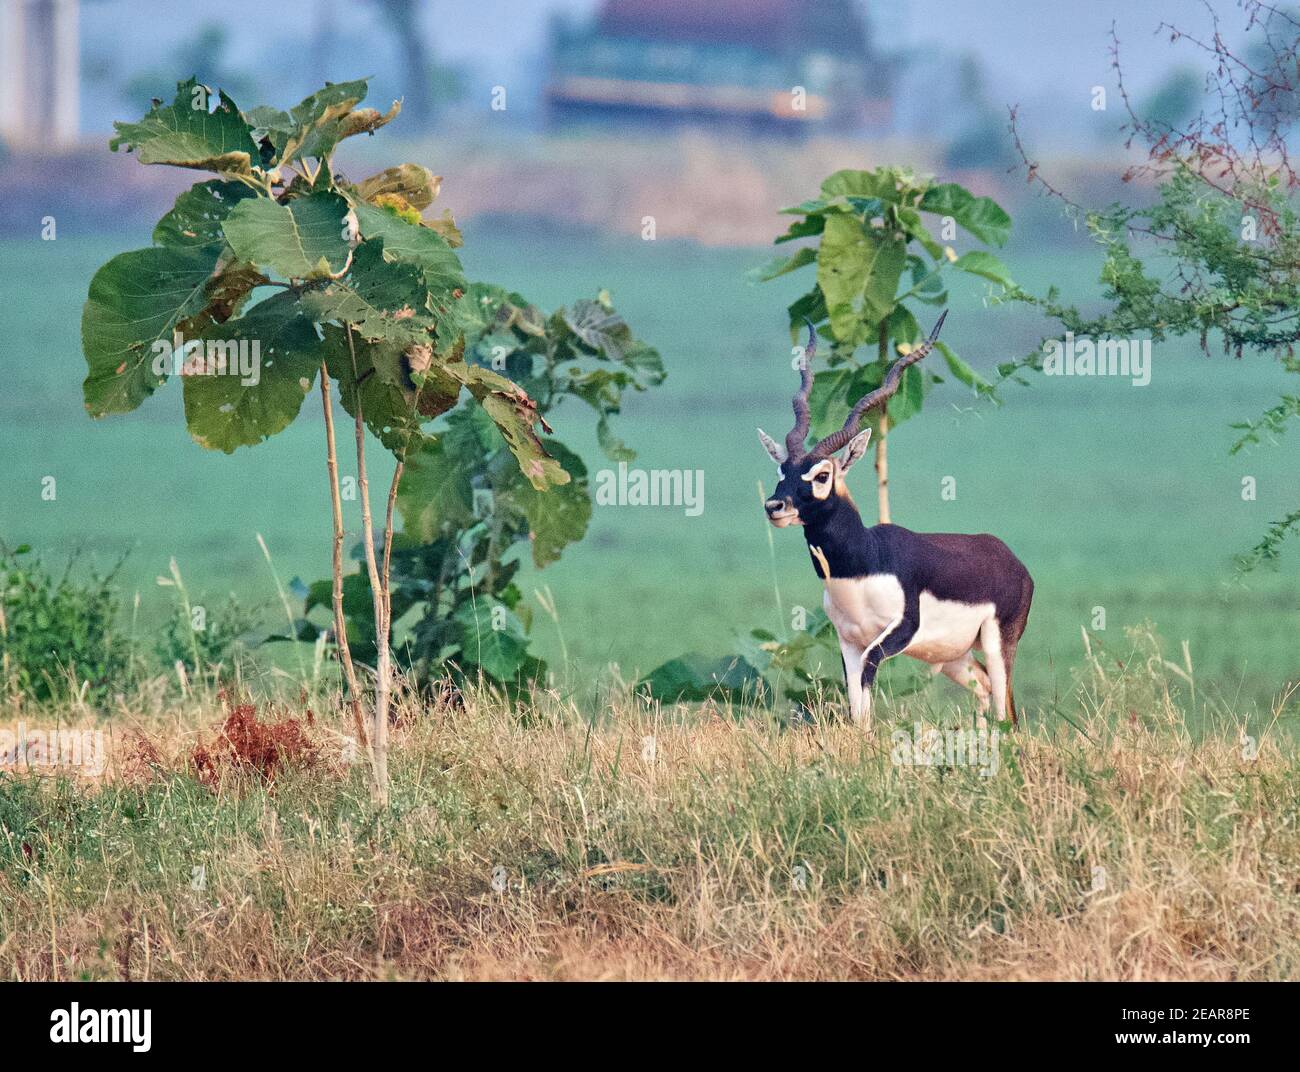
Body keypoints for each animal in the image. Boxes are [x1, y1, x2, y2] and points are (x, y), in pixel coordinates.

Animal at [757, 313, 1033, 730]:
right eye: (782, 470)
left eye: (822, 475)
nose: (775, 506)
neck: (861, 565)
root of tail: (1009, 558)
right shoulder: (848, 640)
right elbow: (856, 701)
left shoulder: (897, 632)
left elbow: (868, 679)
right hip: (953, 655)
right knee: (986, 690)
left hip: (998, 641)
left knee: (1007, 710)